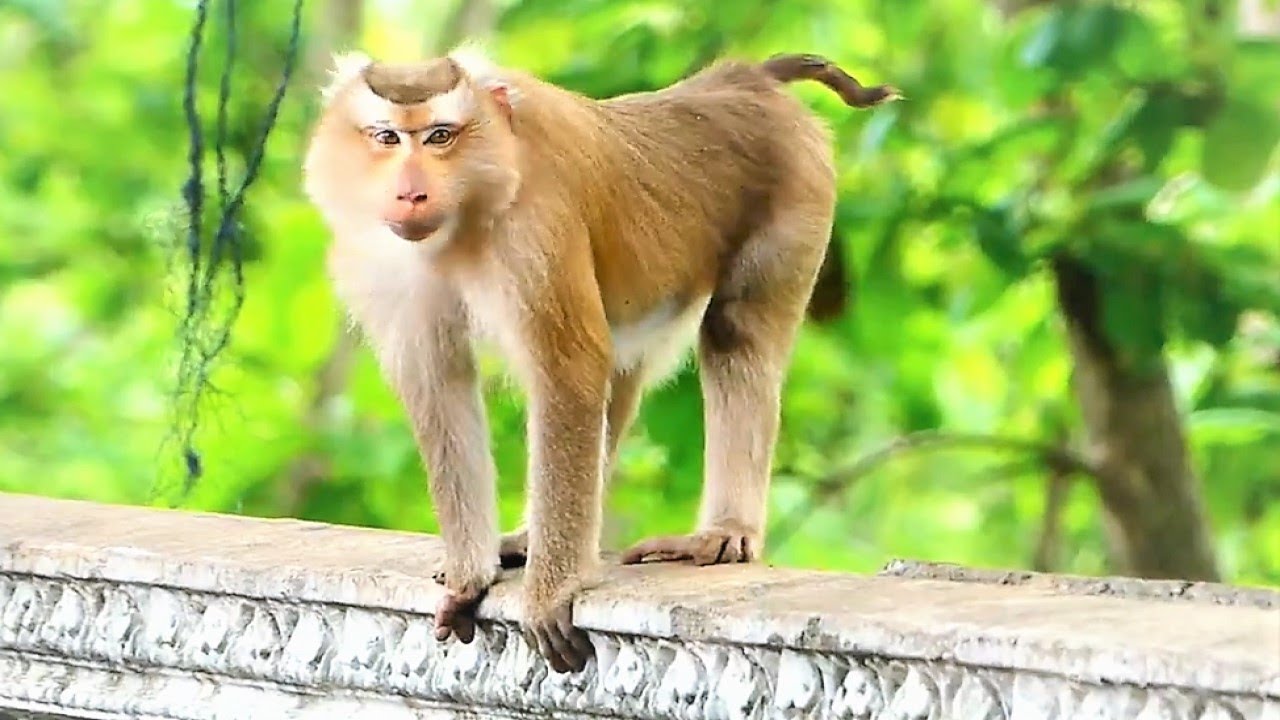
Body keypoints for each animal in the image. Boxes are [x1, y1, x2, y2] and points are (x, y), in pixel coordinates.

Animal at [301, 46, 897, 674]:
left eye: (440, 135)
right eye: (387, 136)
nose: (410, 193)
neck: (468, 216)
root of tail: (742, 78)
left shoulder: (533, 233)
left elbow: (569, 372)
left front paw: (551, 593)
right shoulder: (387, 268)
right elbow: (439, 386)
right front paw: (470, 577)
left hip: (799, 190)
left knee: (735, 334)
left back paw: (722, 534)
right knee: (628, 370)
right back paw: (530, 538)